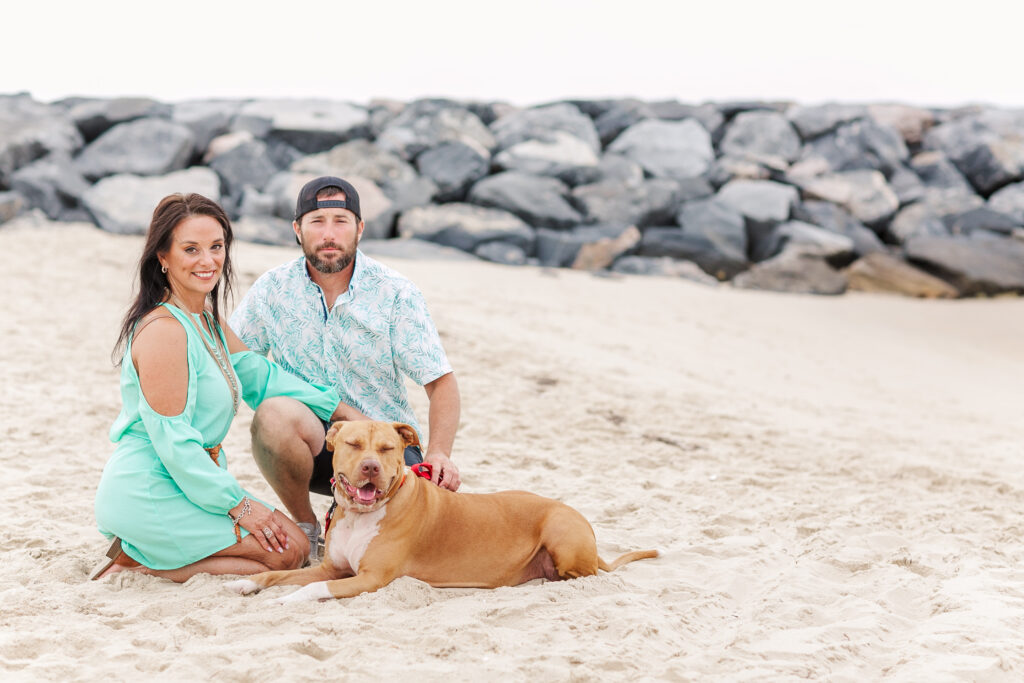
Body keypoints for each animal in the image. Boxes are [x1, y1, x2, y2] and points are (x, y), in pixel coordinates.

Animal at [224, 421, 655, 602]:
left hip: (562, 531)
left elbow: (312, 588)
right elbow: (280, 575)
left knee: (584, 574)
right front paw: (248, 584)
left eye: (387, 449)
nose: (371, 467)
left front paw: (286, 600)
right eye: (353, 443)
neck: (363, 514)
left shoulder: (368, 579)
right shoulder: (333, 568)